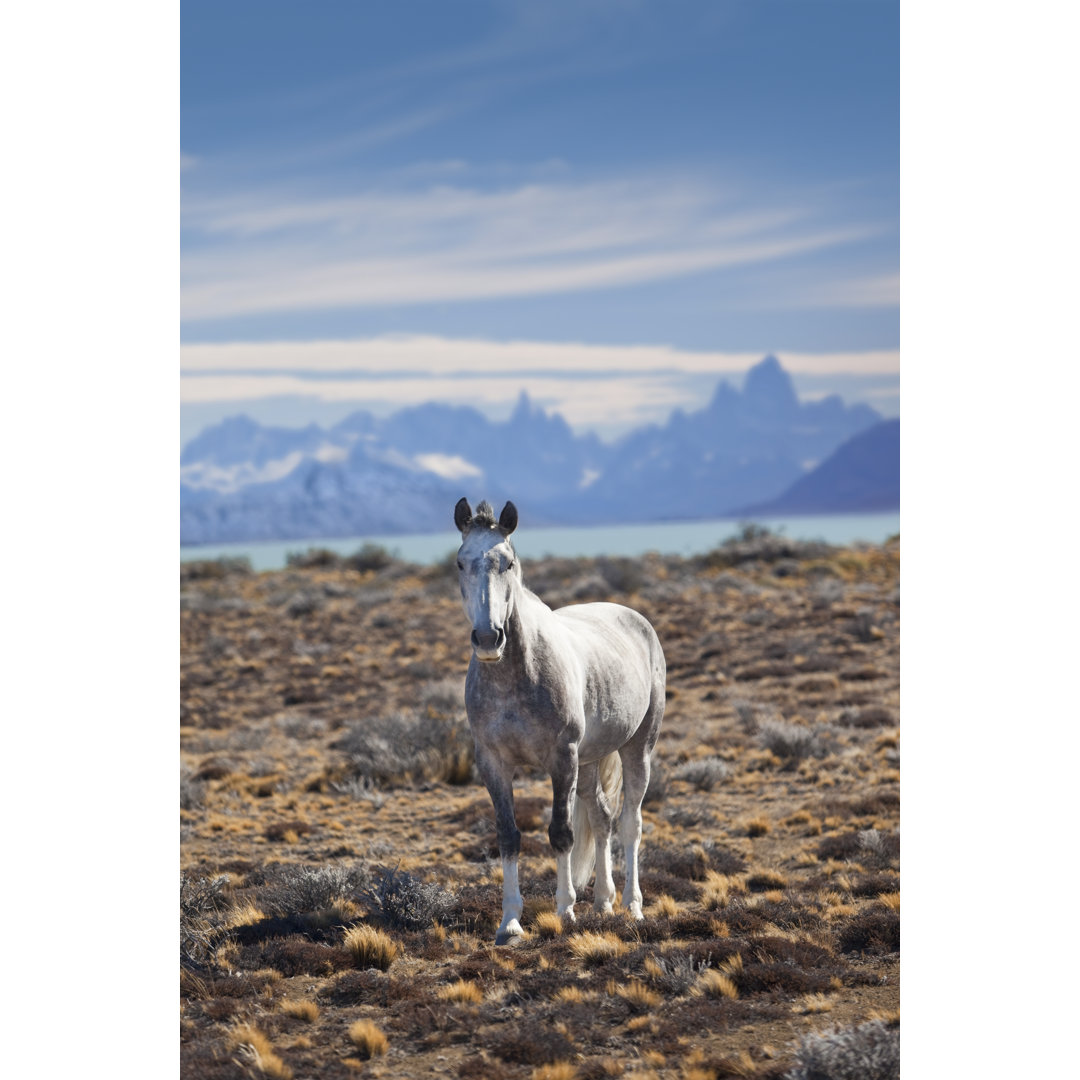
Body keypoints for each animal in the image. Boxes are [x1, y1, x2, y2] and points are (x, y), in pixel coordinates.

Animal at [449, 498, 665, 946]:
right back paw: (603, 902)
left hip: (638, 747)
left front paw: (565, 911)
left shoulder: (561, 759)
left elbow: (561, 832)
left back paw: (633, 908)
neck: (516, 676)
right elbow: (509, 836)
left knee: (630, 823)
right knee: (601, 817)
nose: (488, 639)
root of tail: (635, 618)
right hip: (590, 760)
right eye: (461, 562)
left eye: (508, 562)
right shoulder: (492, 763)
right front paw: (510, 922)